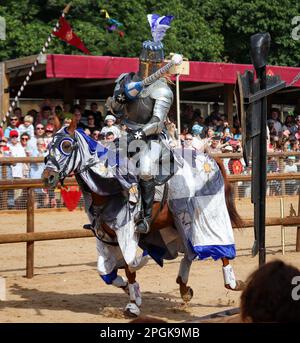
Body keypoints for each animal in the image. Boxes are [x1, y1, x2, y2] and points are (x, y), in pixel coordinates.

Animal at [42, 120, 245, 318]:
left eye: (66, 145)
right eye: (49, 146)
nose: (48, 177)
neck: (108, 188)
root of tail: (209, 158)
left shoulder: (126, 232)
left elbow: (130, 266)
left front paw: (133, 304)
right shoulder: (107, 237)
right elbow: (106, 271)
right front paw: (130, 292)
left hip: (205, 214)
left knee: (216, 247)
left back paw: (233, 283)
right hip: (177, 222)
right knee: (189, 252)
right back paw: (184, 287)